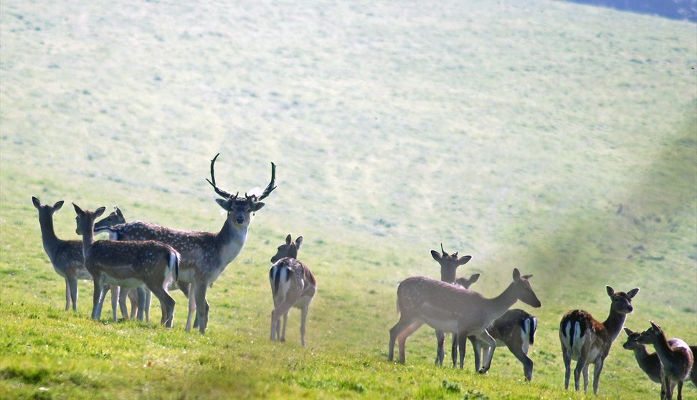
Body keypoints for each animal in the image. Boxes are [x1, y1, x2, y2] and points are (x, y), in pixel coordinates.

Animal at [93, 154, 278, 334]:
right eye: (230, 208)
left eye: (249, 210)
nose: (239, 219)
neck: (220, 254)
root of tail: (116, 229)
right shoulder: (202, 275)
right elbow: (203, 307)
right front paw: (201, 334)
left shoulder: (194, 280)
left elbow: (195, 306)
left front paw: (190, 330)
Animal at [386, 268, 540, 372]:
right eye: (525, 287)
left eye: (530, 286)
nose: (538, 303)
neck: (488, 310)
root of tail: (399, 287)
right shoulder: (463, 327)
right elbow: (462, 351)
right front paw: (460, 369)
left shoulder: (478, 330)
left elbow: (493, 342)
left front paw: (483, 369)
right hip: (409, 311)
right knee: (393, 330)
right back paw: (390, 358)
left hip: (417, 318)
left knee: (401, 334)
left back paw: (401, 360)